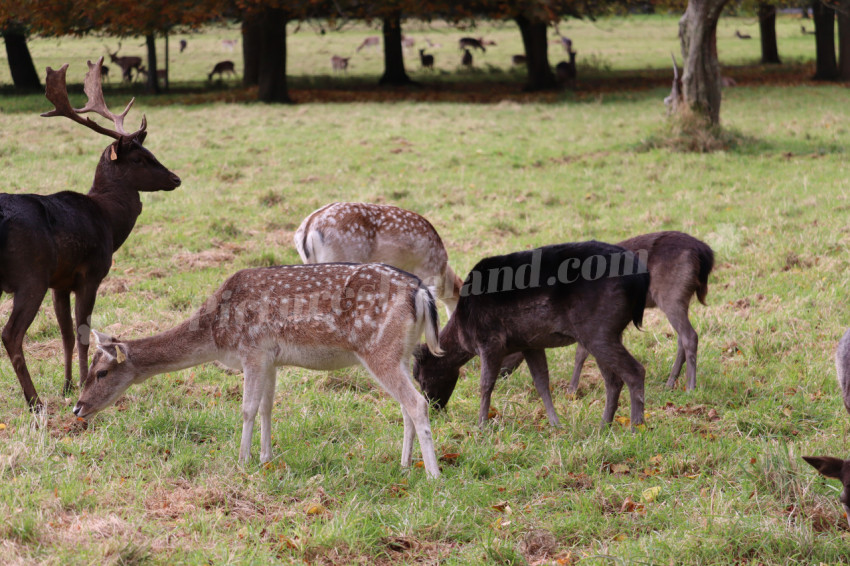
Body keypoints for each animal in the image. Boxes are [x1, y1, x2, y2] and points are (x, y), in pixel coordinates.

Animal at [0, 58, 181, 412]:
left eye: (151, 150)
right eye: (140, 158)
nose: (175, 178)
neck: (108, 219)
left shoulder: (60, 281)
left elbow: (66, 333)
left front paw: (67, 384)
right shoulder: (91, 272)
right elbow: (83, 331)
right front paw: (84, 383)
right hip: (30, 274)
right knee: (11, 334)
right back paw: (34, 401)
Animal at [74, 266, 444, 480]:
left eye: (102, 372)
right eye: (89, 369)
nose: (77, 407)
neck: (217, 337)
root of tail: (422, 292)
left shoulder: (252, 351)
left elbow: (247, 408)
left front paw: (242, 460)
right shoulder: (270, 359)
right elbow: (267, 407)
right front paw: (266, 458)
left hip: (378, 349)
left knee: (417, 403)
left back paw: (433, 475)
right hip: (401, 352)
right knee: (407, 404)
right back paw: (405, 464)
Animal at [414, 241, 644, 430]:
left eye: (421, 377)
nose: (434, 408)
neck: (464, 331)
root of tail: (641, 278)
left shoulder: (490, 341)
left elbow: (485, 384)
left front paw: (481, 426)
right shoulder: (530, 344)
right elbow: (541, 383)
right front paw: (556, 424)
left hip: (597, 330)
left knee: (635, 371)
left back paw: (636, 427)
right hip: (607, 332)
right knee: (613, 380)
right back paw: (604, 426)